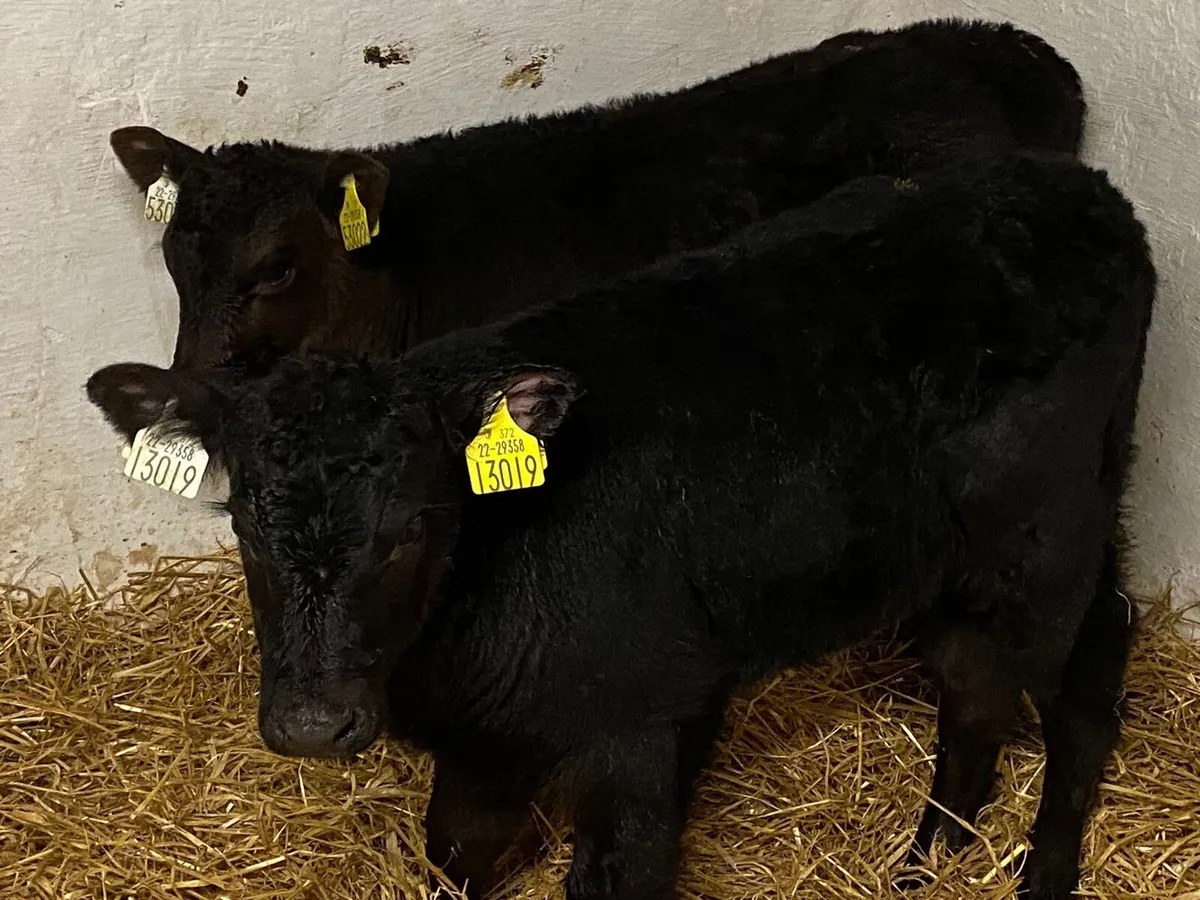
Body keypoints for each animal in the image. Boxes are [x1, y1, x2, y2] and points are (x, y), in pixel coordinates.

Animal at [87, 151, 1155, 900]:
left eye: (412, 525)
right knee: (975, 692)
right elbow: (452, 856)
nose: (313, 724)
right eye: (243, 524)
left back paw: (1043, 870)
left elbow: (616, 873)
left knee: (1086, 676)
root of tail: (1079, 188)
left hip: (1048, 546)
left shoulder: (643, 725)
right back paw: (925, 862)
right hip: (935, 564)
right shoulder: (487, 744)